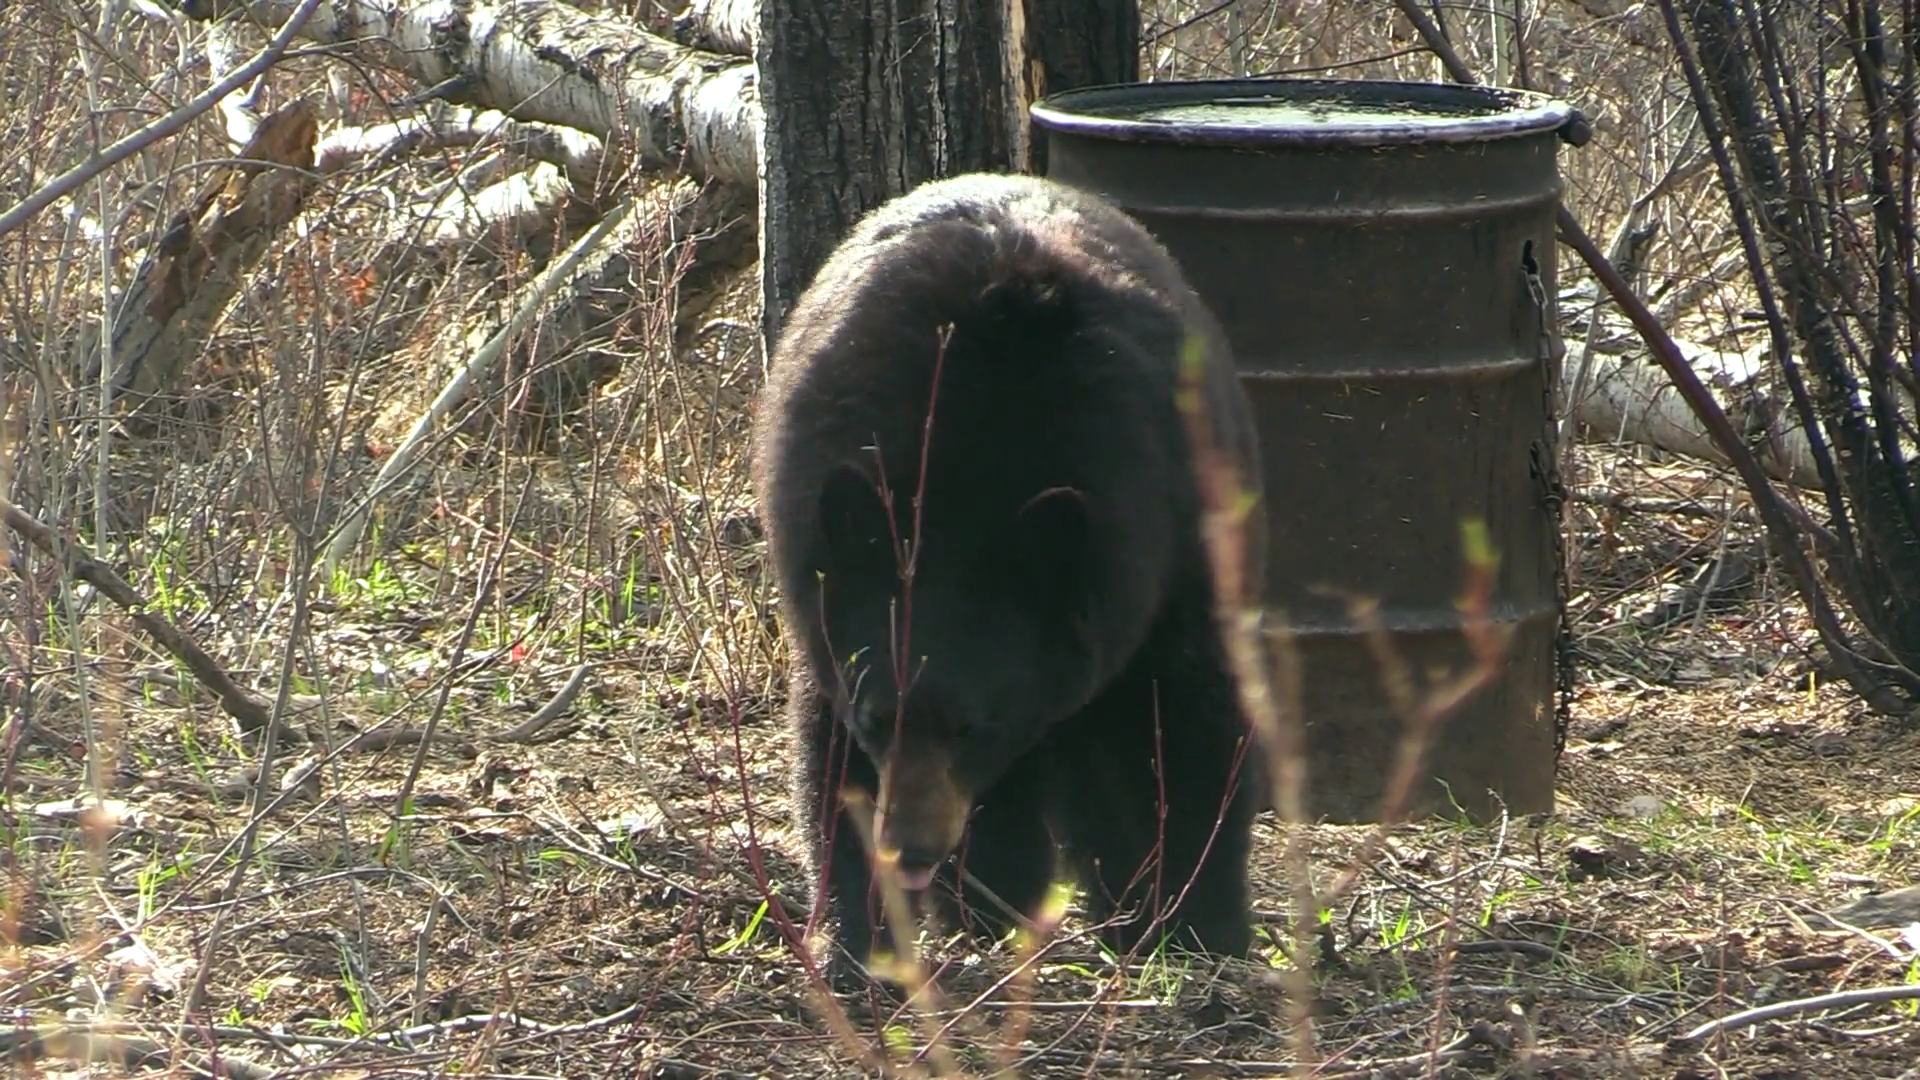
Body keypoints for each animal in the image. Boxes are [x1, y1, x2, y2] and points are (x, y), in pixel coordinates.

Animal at [750, 172, 1269, 986]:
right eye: (876, 718)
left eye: (973, 724)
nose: (911, 849)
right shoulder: (825, 598)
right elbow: (833, 765)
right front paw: (861, 940)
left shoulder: (1169, 543)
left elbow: (1184, 730)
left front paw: (1198, 927)